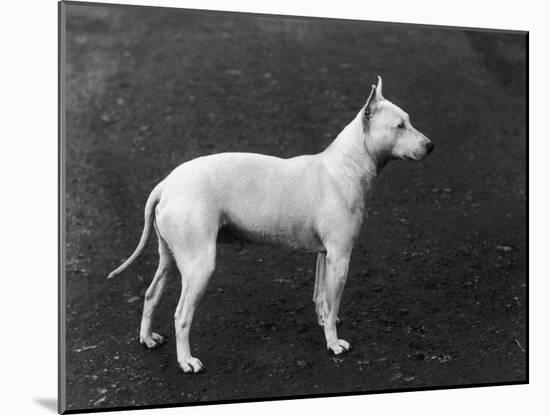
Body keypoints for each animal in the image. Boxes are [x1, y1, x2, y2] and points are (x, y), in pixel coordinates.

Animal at [108, 77, 436, 374]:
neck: (346, 165)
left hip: (171, 259)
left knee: (151, 294)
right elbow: (333, 302)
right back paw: (186, 361)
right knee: (181, 315)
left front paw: (324, 321)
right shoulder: (340, 257)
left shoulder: (325, 255)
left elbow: (321, 296)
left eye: (408, 121)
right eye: (400, 126)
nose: (431, 146)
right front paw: (333, 343)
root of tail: (166, 184)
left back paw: (148, 338)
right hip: (199, 265)